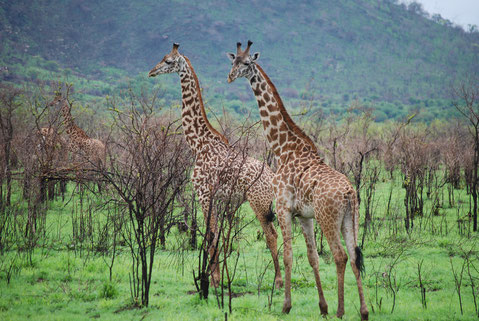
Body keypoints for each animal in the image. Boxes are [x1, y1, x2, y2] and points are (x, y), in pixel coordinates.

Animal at [150, 43, 284, 288]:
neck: (198, 144)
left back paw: (278, 280)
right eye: (162, 58)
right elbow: (217, 235)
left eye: (168, 61)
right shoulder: (218, 198)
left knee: (271, 234)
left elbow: (210, 236)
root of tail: (272, 177)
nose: (151, 72)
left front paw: (213, 280)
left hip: (259, 202)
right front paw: (217, 277)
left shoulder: (204, 193)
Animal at [227, 41, 370, 318]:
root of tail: (349, 192)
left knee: (339, 256)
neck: (283, 148)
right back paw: (364, 311)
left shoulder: (283, 208)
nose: (229, 77)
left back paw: (341, 311)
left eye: (247, 63)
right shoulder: (304, 216)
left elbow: (288, 255)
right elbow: (313, 257)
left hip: (328, 218)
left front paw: (286, 305)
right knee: (354, 255)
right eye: (232, 61)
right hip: (351, 219)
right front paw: (322, 307)